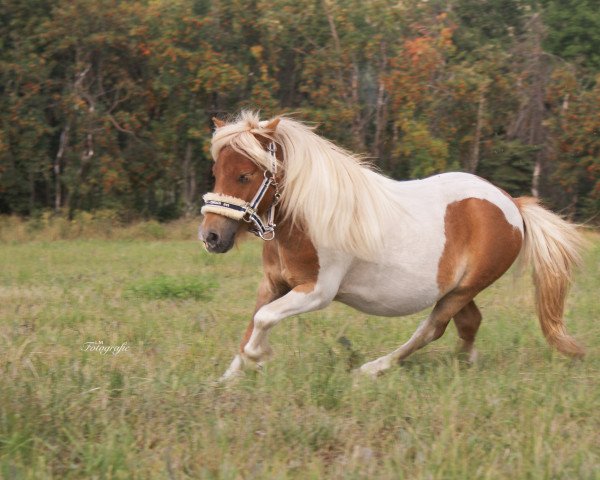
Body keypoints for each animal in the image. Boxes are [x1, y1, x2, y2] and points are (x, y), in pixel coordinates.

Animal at [199, 110, 584, 380]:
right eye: (216, 172)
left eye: (245, 175)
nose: (211, 237)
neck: (308, 216)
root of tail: (512, 205)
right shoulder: (273, 283)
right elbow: (252, 323)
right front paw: (226, 381)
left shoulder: (316, 292)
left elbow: (262, 320)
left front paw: (258, 358)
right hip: (459, 290)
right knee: (469, 324)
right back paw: (465, 365)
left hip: (464, 289)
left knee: (431, 329)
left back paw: (372, 369)